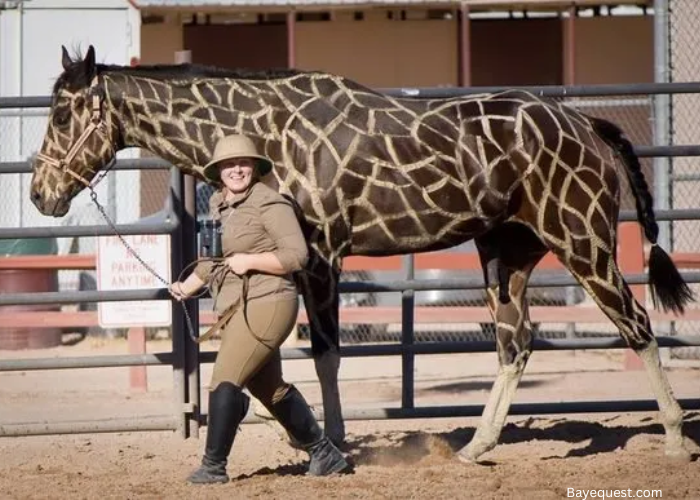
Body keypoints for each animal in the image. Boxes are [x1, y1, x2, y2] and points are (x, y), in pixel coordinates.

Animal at [28, 47, 696, 460]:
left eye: (62, 113)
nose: (40, 194)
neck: (266, 131)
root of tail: (588, 127)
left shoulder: (321, 251)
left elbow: (326, 355)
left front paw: (335, 442)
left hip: (583, 240)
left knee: (636, 324)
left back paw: (672, 439)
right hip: (507, 254)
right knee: (517, 344)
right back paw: (476, 447)